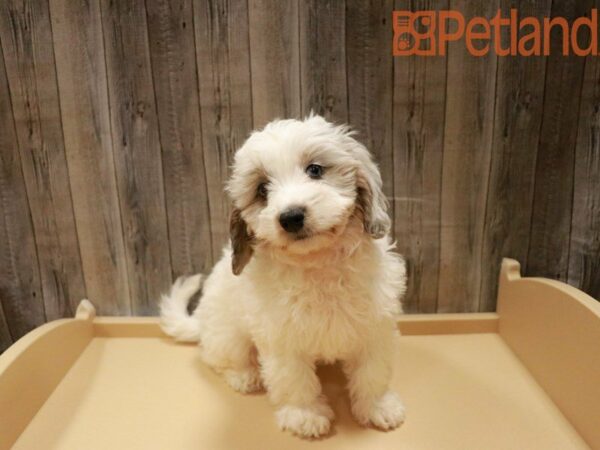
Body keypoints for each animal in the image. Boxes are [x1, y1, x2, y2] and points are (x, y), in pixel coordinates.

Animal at [161, 114, 408, 438]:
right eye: (262, 189)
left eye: (315, 170)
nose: (291, 217)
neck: (317, 263)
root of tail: (200, 323)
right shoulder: (281, 339)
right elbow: (294, 379)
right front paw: (305, 415)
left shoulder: (374, 327)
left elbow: (373, 372)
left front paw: (377, 406)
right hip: (227, 334)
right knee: (220, 358)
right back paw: (244, 376)